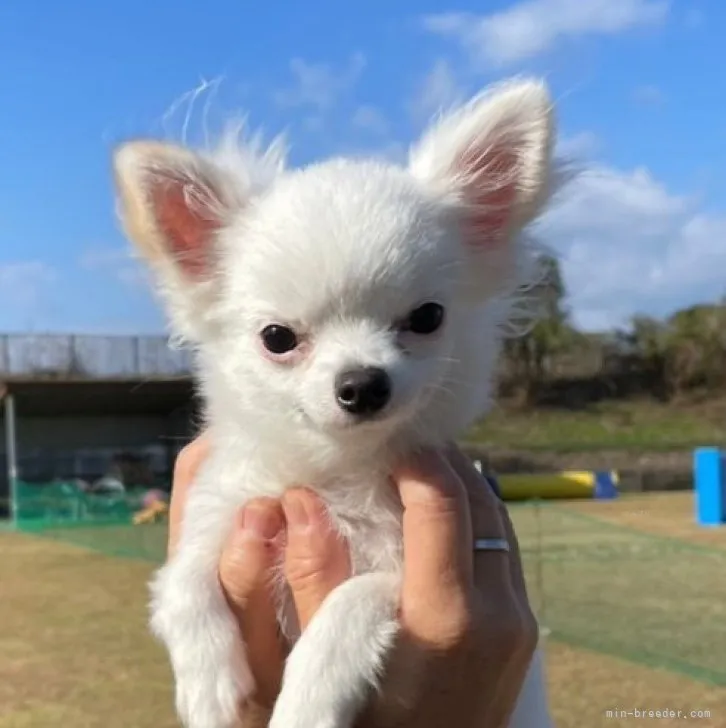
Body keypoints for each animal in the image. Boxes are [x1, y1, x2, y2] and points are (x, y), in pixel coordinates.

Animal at [112, 78, 556, 728]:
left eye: (428, 318)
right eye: (277, 338)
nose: (362, 383)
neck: (334, 474)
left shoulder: (403, 579)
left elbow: (348, 605)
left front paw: (306, 704)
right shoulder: (222, 512)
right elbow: (183, 582)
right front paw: (206, 685)